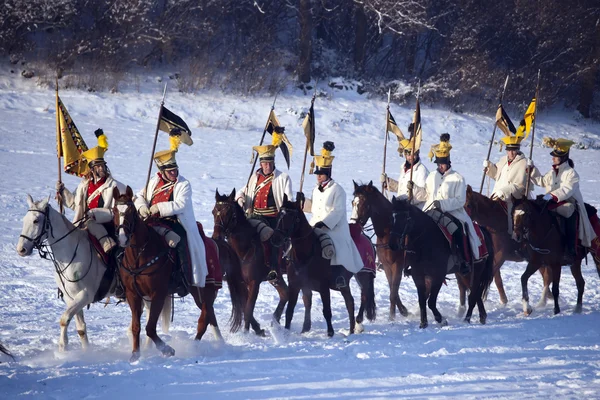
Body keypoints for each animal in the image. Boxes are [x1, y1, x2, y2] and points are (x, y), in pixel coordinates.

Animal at [113, 188, 243, 362]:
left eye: (131, 212)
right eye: (115, 210)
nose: (122, 238)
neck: (139, 256)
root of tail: (217, 243)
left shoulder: (158, 294)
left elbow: (150, 327)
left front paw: (167, 349)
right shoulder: (133, 294)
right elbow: (136, 326)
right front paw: (135, 354)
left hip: (207, 289)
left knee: (204, 319)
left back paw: (196, 347)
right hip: (199, 293)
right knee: (210, 315)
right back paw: (218, 343)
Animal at [212, 189, 290, 336]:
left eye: (228, 213)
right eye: (214, 211)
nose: (216, 237)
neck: (244, 250)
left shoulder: (254, 283)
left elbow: (248, 309)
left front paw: (246, 334)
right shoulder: (241, 282)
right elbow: (244, 306)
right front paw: (258, 329)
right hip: (276, 278)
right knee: (285, 294)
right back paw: (275, 322)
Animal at [272, 195, 360, 336]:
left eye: (291, 217)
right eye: (279, 214)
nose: (275, 239)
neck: (305, 255)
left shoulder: (323, 287)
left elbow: (327, 311)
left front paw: (330, 333)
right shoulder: (295, 285)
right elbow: (290, 310)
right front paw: (287, 332)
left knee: (354, 301)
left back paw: (353, 329)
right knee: (349, 302)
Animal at [386, 198, 494, 328]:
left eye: (406, 217)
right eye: (392, 217)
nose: (392, 244)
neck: (425, 241)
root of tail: (484, 232)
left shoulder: (438, 276)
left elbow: (431, 302)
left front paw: (441, 320)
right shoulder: (418, 275)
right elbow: (422, 300)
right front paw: (423, 323)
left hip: (477, 271)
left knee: (473, 295)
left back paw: (467, 319)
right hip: (464, 274)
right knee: (476, 293)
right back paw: (482, 316)